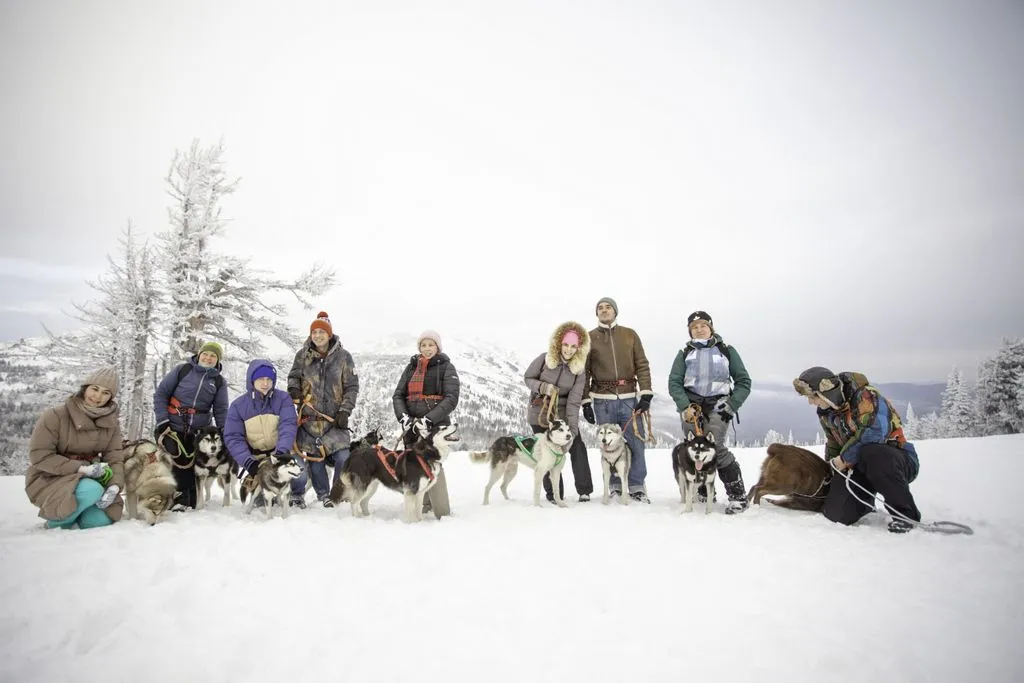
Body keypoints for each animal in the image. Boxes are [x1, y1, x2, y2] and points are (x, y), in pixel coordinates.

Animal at [329, 417, 458, 524]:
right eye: (443, 428)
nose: (456, 424)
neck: (426, 455)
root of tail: (355, 454)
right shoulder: (410, 492)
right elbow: (411, 513)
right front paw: (412, 524)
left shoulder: (420, 492)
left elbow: (418, 512)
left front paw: (420, 523)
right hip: (363, 486)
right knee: (354, 503)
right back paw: (356, 519)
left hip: (371, 487)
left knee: (362, 502)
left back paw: (368, 517)